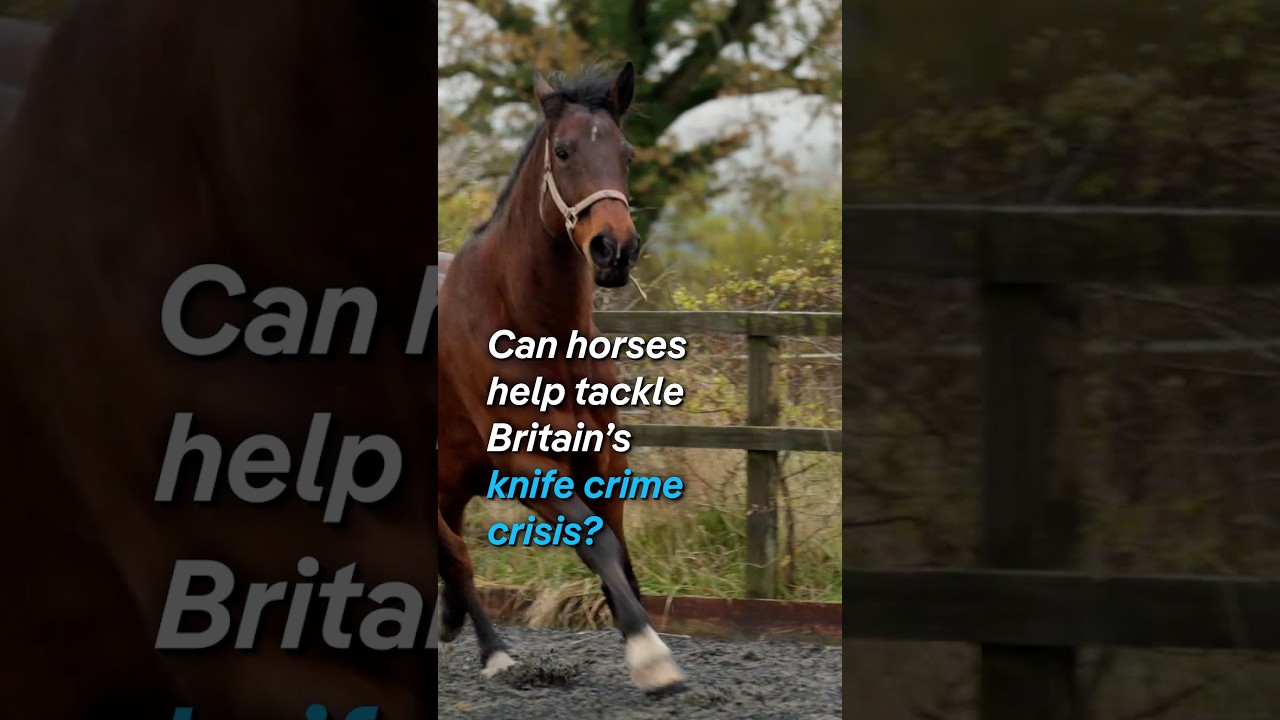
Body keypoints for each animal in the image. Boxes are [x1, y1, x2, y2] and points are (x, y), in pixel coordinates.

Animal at [437, 61, 688, 694]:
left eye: (626, 153)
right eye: (565, 151)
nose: (614, 249)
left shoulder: (603, 457)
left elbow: (618, 549)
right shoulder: (526, 465)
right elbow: (595, 542)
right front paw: (650, 655)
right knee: (455, 553)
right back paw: (496, 653)